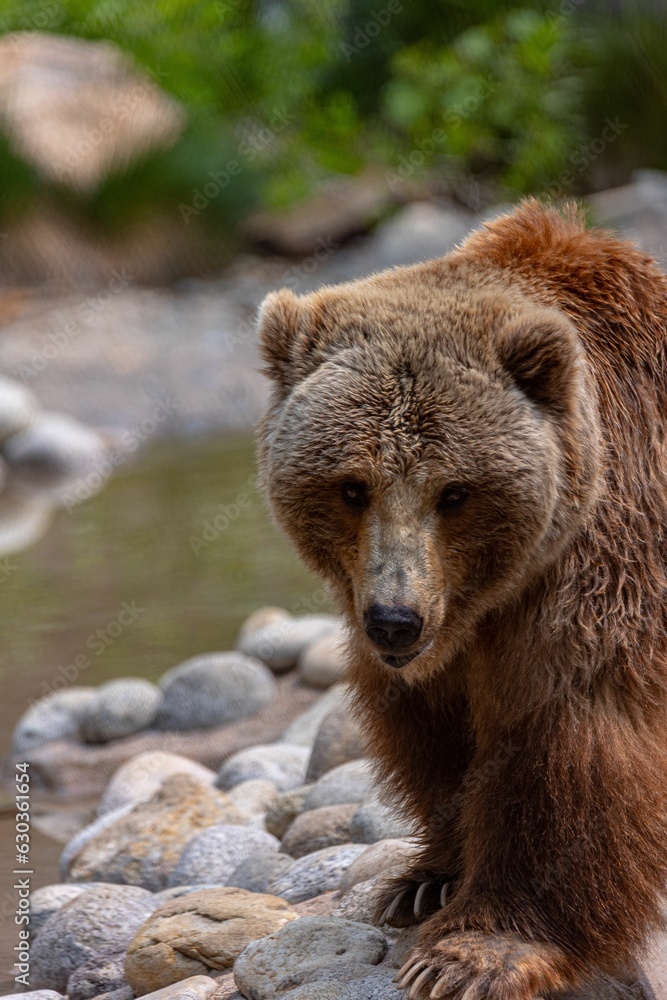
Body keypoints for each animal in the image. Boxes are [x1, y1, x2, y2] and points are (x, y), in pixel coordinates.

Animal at [256, 200, 667, 1000]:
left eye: (456, 491)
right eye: (351, 487)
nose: (394, 619)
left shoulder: (598, 566)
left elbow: (569, 738)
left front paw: (471, 953)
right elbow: (435, 729)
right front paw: (427, 879)